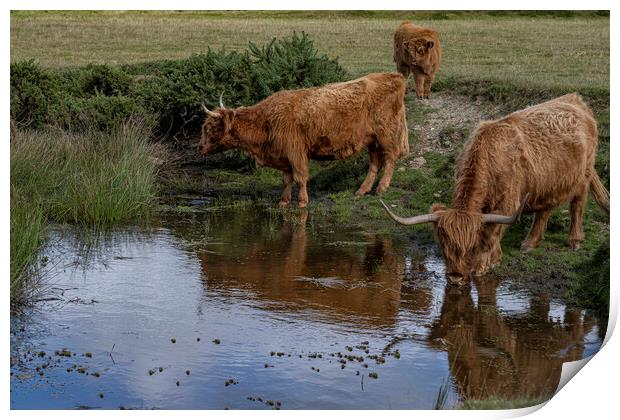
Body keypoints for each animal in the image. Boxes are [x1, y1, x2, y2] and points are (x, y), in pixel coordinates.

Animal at [200, 74, 412, 210]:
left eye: (210, 128)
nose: (199, 147)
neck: (265, 122)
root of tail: (394, 76)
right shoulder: (283, 155)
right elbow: (287, 179)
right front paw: (284, 201)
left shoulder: (296, 152)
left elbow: (300, 177)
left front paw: (302, 201)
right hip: (371, 140)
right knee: (375, 163)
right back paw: (362, 190)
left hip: (386, 134)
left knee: (390, 158)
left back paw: (381, 189)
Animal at [380, 92, 608, 286]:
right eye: (444, 244)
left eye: (472, 246)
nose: (455, 277)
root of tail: (576, 100)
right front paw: (495, 258)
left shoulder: (508, 203)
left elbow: (491, 234)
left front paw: (484, 265)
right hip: (547, 182)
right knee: (545, 210)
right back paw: (530, 243)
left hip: (584, 174)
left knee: (578, 204)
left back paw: (575, 240)